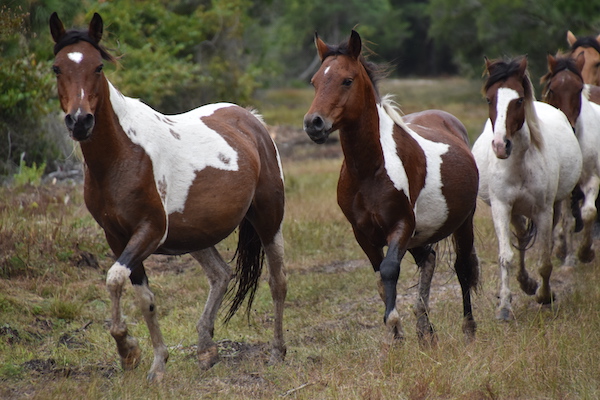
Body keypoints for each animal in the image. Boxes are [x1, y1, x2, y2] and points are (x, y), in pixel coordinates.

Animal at [302, 31, 480, 344]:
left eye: (347, 80)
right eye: (314, 82)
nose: (314, 124)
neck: (369, 170)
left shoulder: (401, 225)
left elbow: (389, 270)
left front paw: (394, 323)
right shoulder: (363, 234)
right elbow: (379, 278)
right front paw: (396, 336)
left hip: (462, 221)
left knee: (462, 268)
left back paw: (468, 329)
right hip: (421, 235)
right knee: (429, 260)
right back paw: (425, 329)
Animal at [474, 56, 580, 320]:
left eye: (519, 100)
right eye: (489, 99)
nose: (500, 145)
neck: (519, 163)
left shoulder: (543, 210)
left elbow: (544, 259)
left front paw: (545, 295)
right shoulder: (501, 207)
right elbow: (506, 256)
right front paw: (504, 307)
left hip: (555, 205)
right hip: (516, 210)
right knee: (521, 238)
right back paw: (525, 283)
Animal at [540, 54, 600, 266]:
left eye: (579, 89)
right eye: (552, 89)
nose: (568, 127)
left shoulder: (592, 178)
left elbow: (588, 213)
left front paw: (586, 252)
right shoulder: (566, 186)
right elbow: (567, 221)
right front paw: (568, 257)